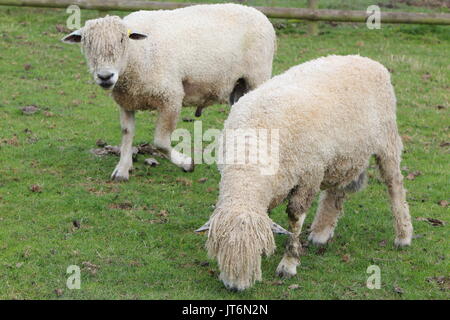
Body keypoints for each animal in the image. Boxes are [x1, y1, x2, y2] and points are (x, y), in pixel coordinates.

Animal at [61, 3, 276, 180]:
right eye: (86, 43)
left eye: (123, 40)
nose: (105, 77)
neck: (137, 54)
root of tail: (257, 12)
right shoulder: (126, 101)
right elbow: (127, 134)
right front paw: (122, 169)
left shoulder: (171, 97)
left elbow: (161, 143)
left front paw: (187, 163)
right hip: (238, 86)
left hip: (257, 76)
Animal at [197, 55, 414, 292]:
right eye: (218, 248)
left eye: (258, 249)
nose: (235, 288)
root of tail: (367, 60)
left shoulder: (309, 176)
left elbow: (295, 218)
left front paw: (289, 264)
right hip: (343, 156)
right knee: (336, 192)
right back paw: (321, 233)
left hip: (386, 140)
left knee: (394, 184)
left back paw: (403, 235)